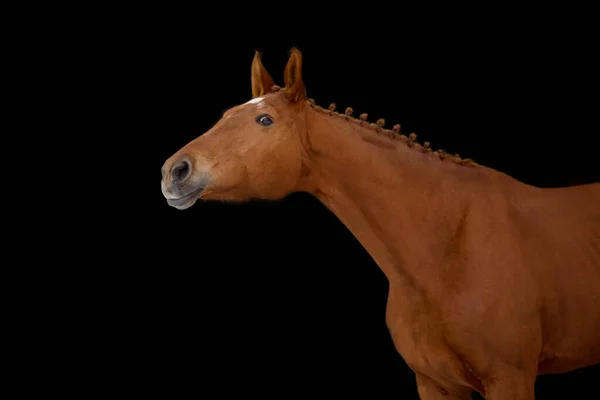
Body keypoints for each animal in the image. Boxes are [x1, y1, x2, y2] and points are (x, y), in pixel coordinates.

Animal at [162, 48, 600, 398]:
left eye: (265, 120)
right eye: (225, 115)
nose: (174, 171)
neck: (448, 247)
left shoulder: (511, 380)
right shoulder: (435, 384)